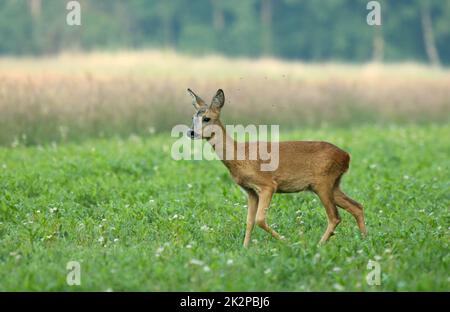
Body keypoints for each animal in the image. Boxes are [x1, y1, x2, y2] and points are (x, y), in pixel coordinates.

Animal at [185, 88, 366, 249]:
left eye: (207, 118)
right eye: (193, 117)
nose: (191, 133)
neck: (239, 154)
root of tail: (346, 156)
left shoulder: (268, 185)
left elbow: (259, 219)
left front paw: (287, 242)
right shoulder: (251, 191)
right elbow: (249, 221)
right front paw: (244, 248)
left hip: (323, 182)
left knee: (335, 216)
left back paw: (318, 245)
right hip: (331, 184)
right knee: (357, 206)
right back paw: (364, 240)